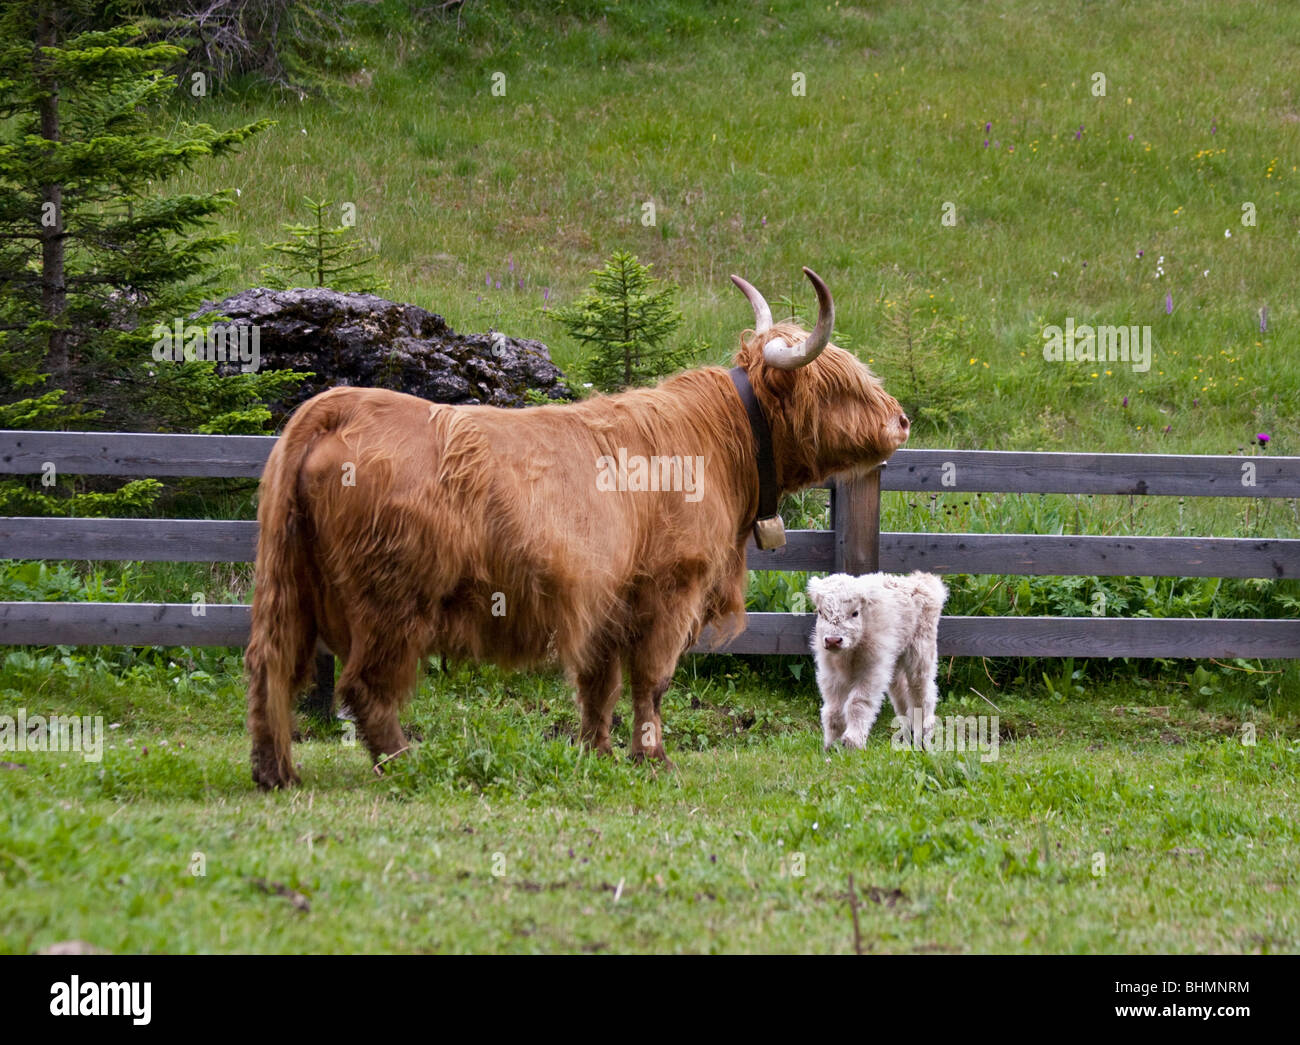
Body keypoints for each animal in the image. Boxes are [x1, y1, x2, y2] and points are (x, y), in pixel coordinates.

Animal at [245, 268, 909, 788]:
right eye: (841, 385)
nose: (901, 420)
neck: (719, 446)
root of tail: (339, 405)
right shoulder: (670, 591)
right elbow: (651, 681)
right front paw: (654, 759)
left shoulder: (607, 601)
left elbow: (600, 685)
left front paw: (598, 753)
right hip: (390, 601)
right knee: (364, 686)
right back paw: (405, 763)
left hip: (288, 583)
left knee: (271, 663)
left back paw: (277, 772)